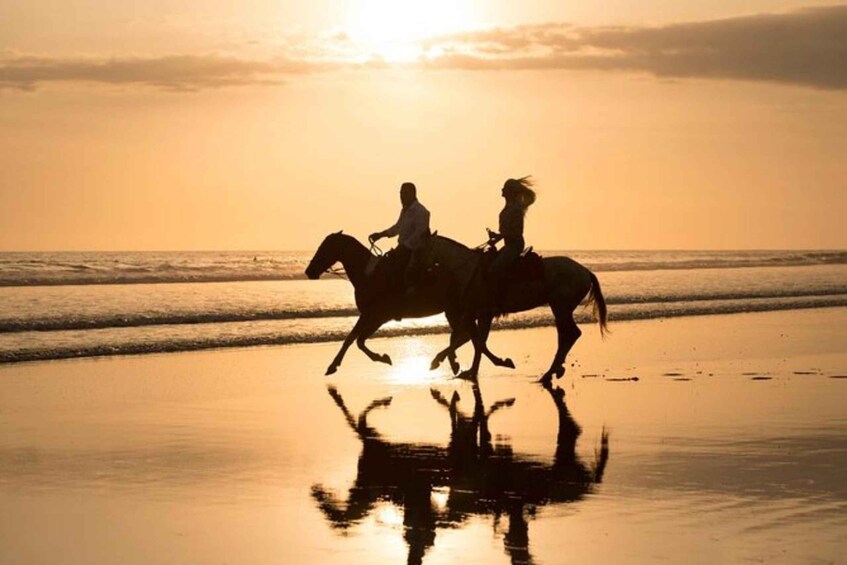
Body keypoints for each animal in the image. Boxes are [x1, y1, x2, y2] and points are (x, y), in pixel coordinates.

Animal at [304, 231, 516, 376]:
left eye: (325, 248)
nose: (309, 271)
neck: (369, 275)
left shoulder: (377, 316)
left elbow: (356, 340)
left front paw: (378, 358)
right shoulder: (369, 316)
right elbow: (354, 339)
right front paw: (337, 364)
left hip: (457, 310)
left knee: (470, 336)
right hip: (454, 311)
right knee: (468, 336)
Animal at [428, 234, 608, 384]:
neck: (470, 270)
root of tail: (586, 272)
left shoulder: (484, 313)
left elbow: (477, 342)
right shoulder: (477, 314)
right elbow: (474, 341)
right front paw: (468, 369)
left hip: (560, 307)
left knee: (570, 334)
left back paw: (549, 373)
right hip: (560, 308)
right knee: (566, 335)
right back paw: (555, 370)